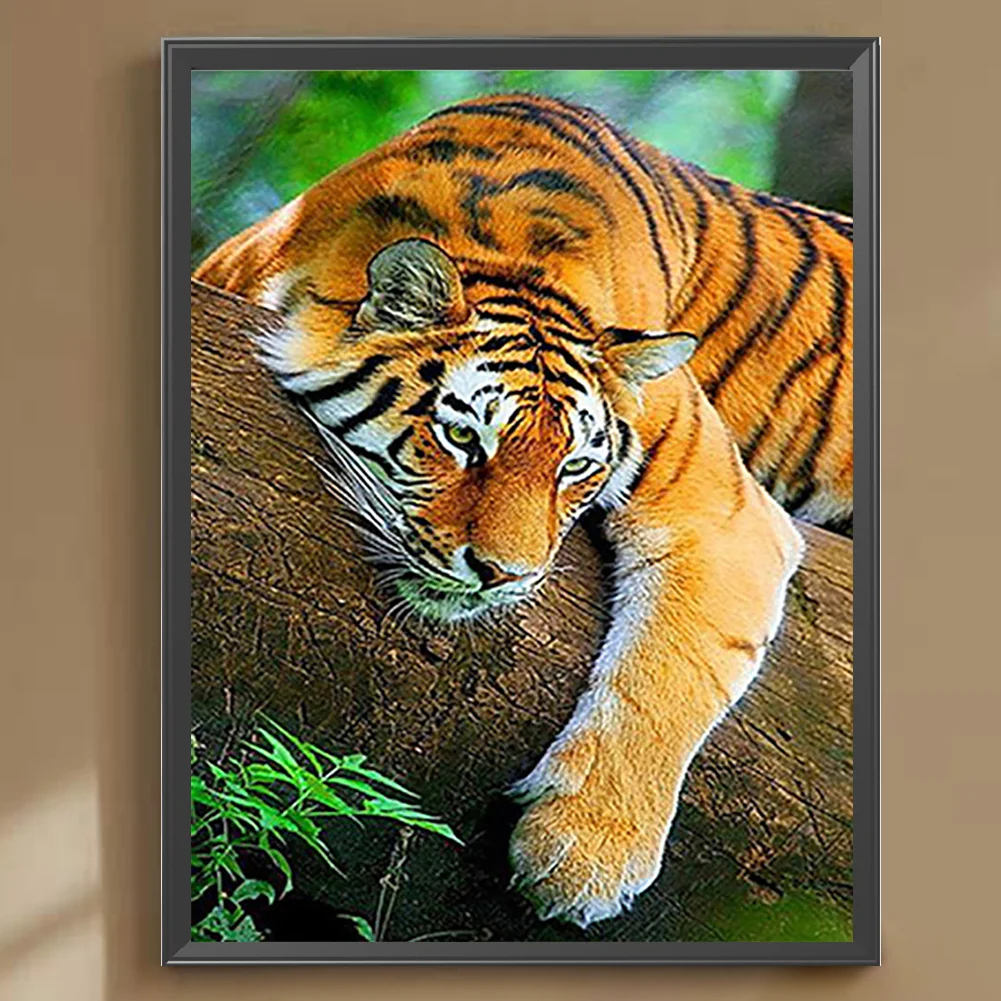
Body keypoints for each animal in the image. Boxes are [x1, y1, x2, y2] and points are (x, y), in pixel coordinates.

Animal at [193, 92, 852, 928]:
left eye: (573, 466)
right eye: (462, 437)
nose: (501, 575)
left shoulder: (724, 512)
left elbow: (668, 675)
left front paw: (585, 854)